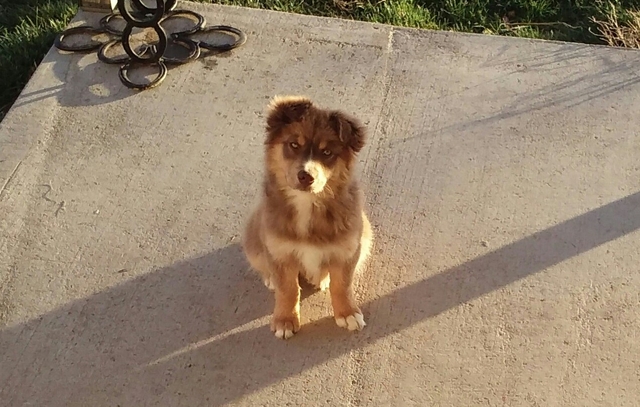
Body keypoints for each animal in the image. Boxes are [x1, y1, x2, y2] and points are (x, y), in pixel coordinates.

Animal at [245, 95, 376, 342]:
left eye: (327, 153)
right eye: (294, 145)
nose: (306, 176)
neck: (307, 205)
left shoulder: (349, 249)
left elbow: (342, 284)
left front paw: (347, 313)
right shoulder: (279, 251)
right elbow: (287, 289)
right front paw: (285, 320)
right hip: (252, 239)